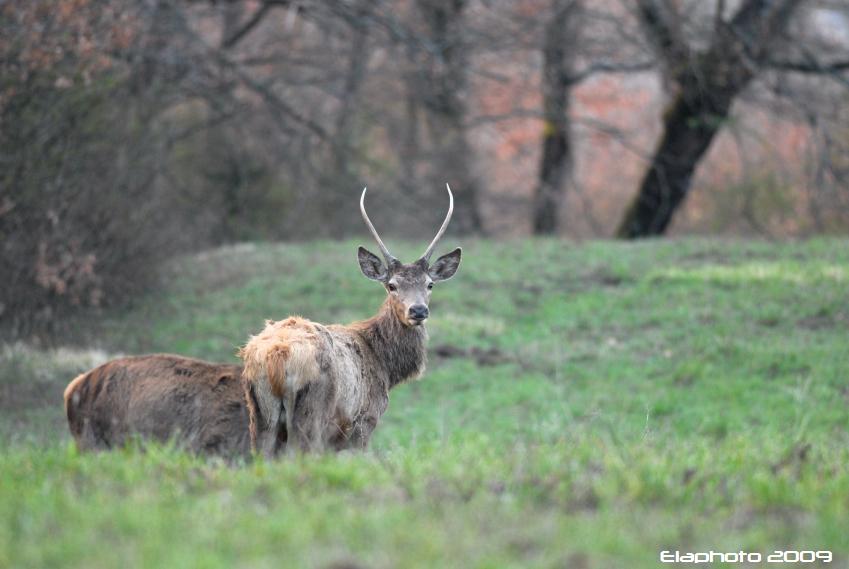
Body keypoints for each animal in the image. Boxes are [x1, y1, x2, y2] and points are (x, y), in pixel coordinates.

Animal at [238, 186, 464, 458]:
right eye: (392, 285)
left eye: (429, 284)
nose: (418, 310)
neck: (386, 367)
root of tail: (276, 356)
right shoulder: (364, 421)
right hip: (312, 414)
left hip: (261, 414)